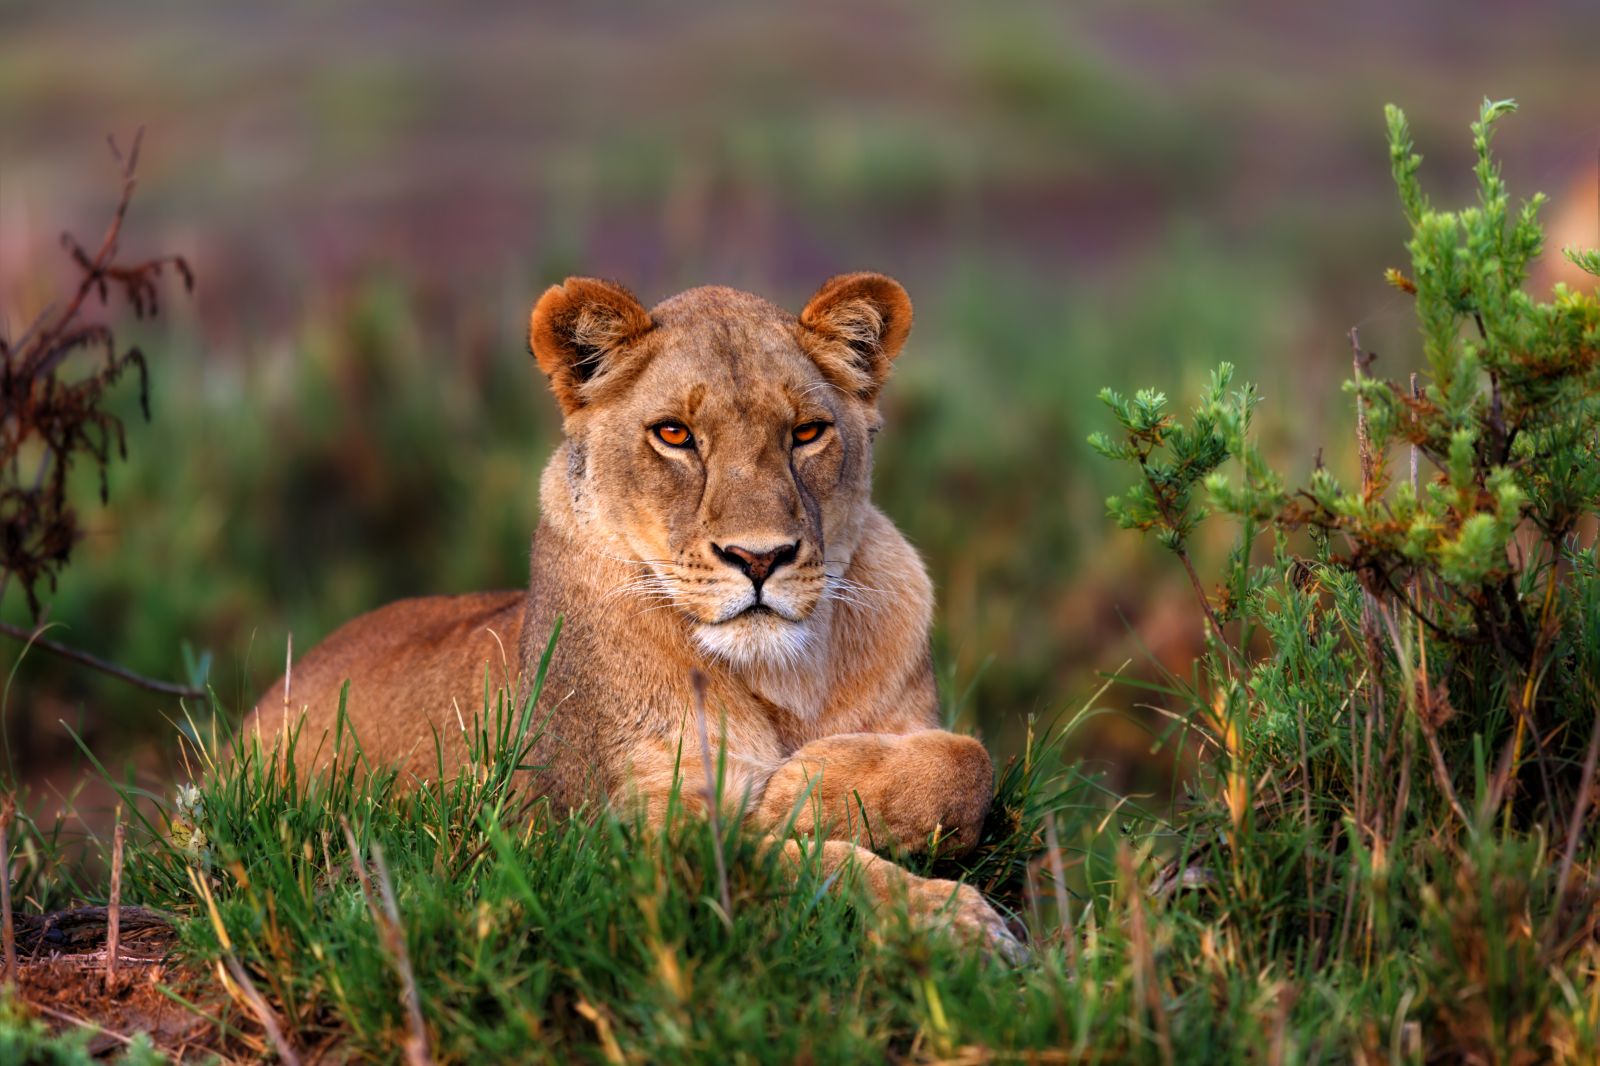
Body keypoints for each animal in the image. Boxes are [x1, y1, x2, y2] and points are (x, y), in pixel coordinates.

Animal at [246, 273, 1023, 958]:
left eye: (807, 433)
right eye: (674, 435)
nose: (760, 557)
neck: (784, 677)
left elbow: (968, 764)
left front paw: (806, 787)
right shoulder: (619, 836)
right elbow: (791, 862)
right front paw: (952, 921)